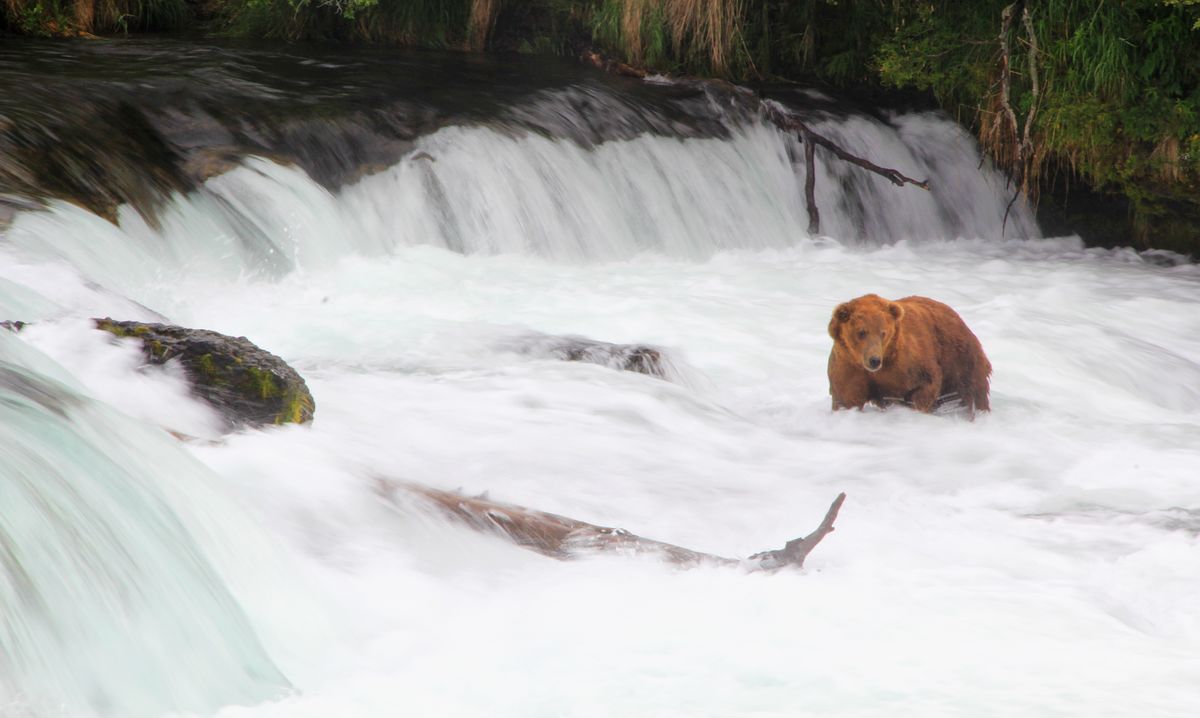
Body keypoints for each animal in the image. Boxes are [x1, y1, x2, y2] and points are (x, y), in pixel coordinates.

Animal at [825, 292, 993, 415]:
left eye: (883, 333)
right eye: (861, 332)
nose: (874, 360)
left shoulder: (907, 366)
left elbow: (924, 385)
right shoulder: (848, 367)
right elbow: (847, 398)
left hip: (960, 361)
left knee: (971, 392)